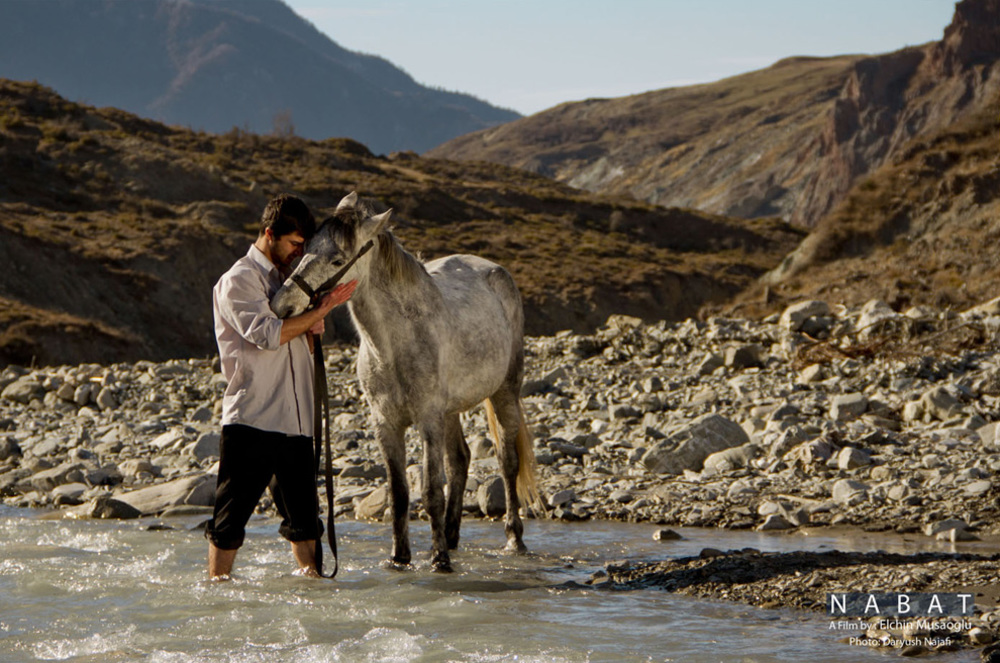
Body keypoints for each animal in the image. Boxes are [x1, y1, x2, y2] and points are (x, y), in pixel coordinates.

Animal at [272, 191, 540, 572]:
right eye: (305, 247)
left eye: (337, 258)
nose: (281, 306)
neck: (394, 345)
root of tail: (495, 271)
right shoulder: (386, 423)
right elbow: (398, 492)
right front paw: (401, 558)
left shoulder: (427, 420)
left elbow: (430, 491)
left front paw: (439, 561)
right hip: (450, 412)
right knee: (460, 460)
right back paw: (452, 537)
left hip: (503, 393)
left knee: (507, 461)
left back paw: (513, 539)